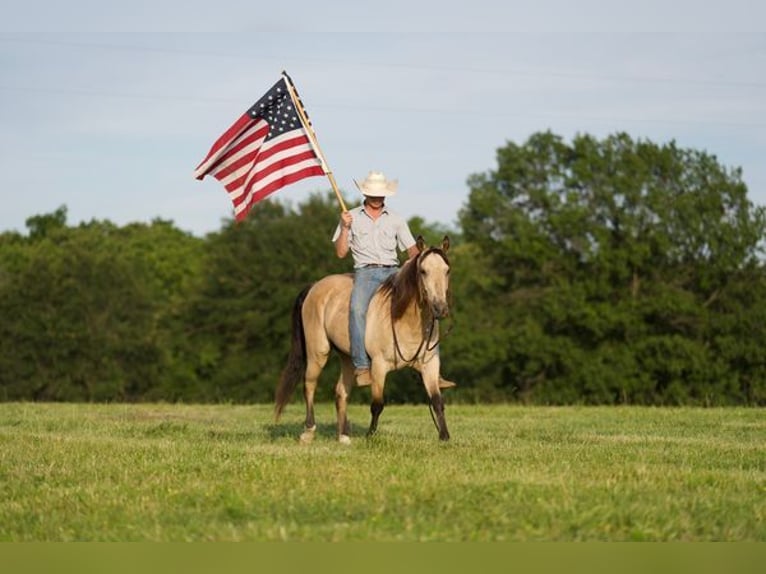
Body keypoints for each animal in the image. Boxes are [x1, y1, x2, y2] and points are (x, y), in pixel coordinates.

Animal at [278, 236, 452, 444]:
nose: (440, 309)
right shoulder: (379, 366)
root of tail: (314, 286)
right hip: (317, 352)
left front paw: (444, 436)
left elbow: (437, 401)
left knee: (340, 392)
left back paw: (344, 436)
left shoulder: (430, 365)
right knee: (309, 385)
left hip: (347, 358)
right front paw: (370, 435)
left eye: (447, 270)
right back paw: (308, 431)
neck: (403, 319)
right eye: (423, 271)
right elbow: (377, 404)